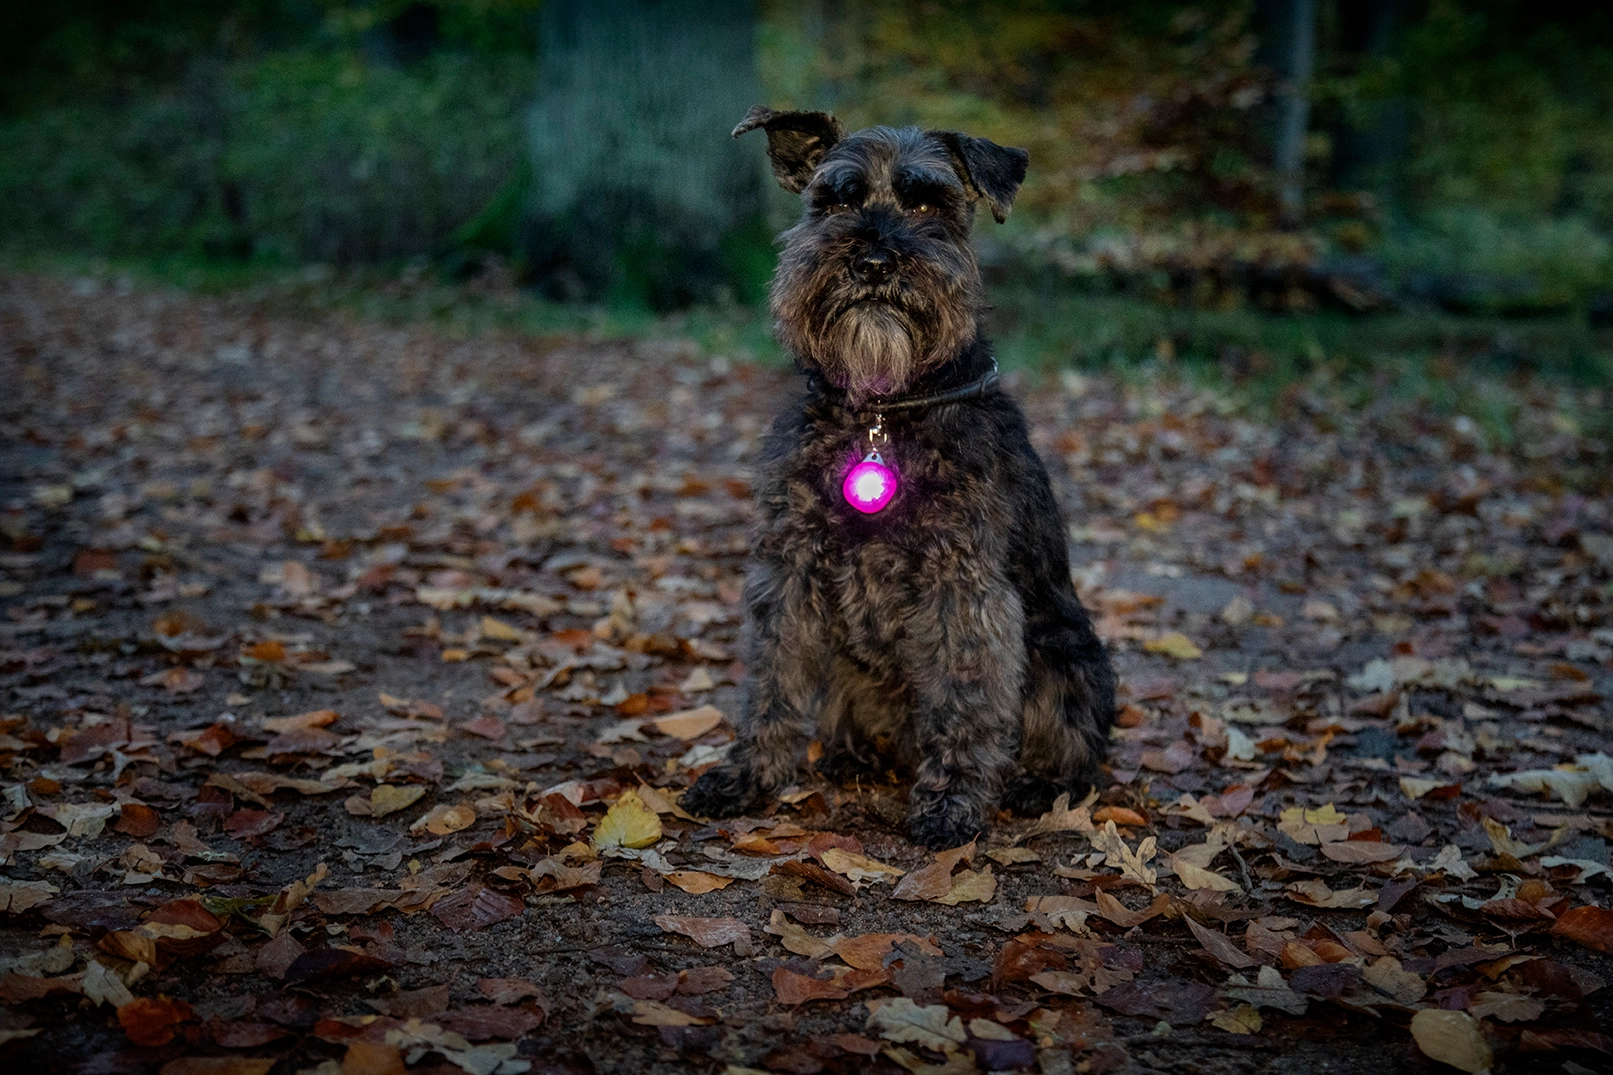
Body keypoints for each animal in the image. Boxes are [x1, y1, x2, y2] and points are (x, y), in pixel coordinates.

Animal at [677, 106, 1109, 845]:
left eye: (928, 202)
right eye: (838, 200)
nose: (873, 260)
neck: (882, 411)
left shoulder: (963, 586)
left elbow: (966, 695)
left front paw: (952, 800)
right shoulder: (788, 572)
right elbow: (772, 682)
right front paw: (749, 775)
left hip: (1067, 652)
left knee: (1077, 750)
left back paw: (1037, 783)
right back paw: (851, 757)